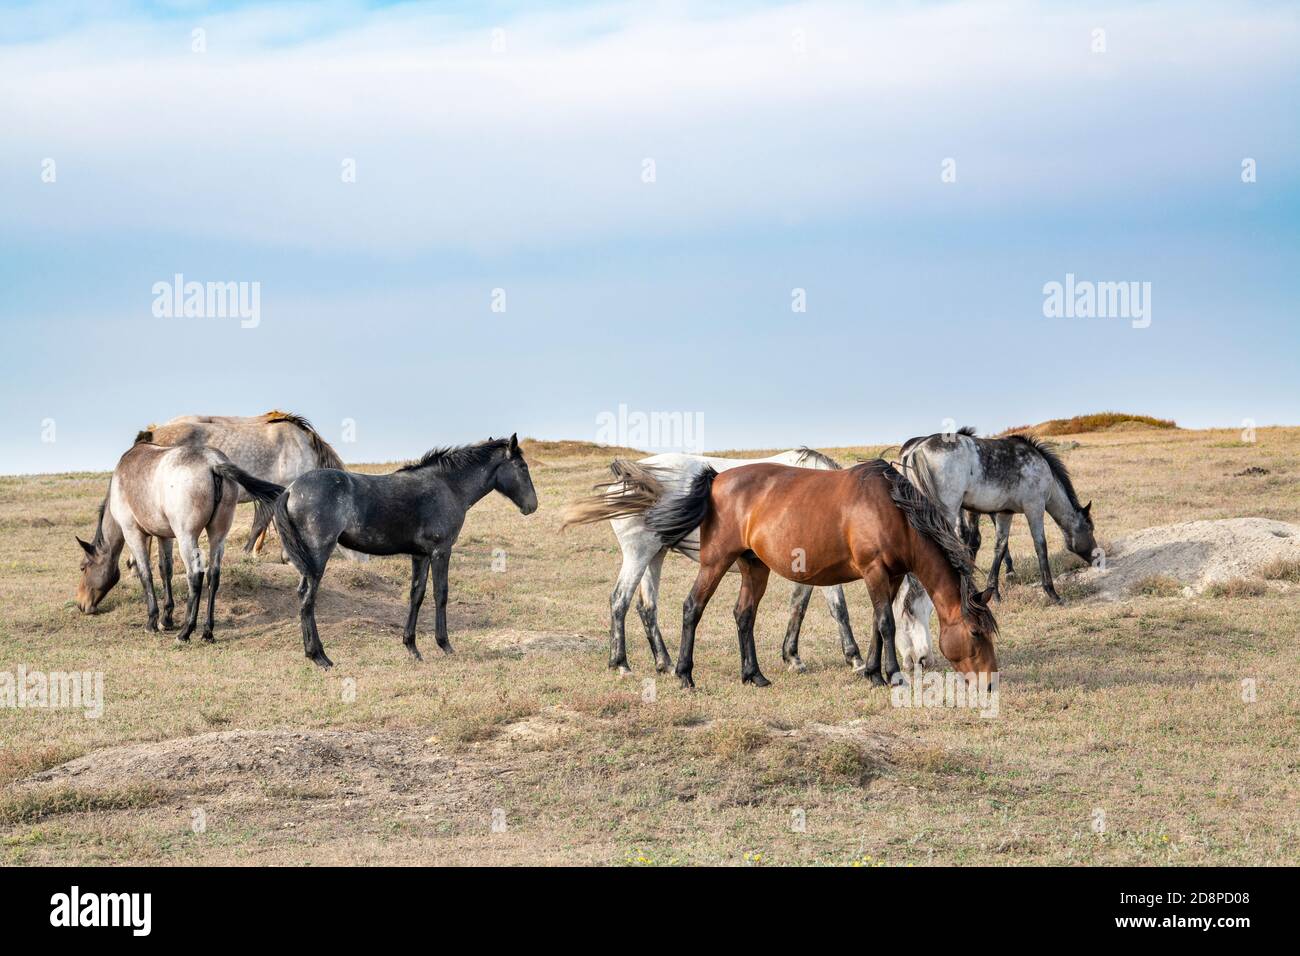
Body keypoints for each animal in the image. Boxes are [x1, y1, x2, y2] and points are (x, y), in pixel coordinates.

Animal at [76, 442, 285, 643]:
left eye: (83, 567)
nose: (81, 604)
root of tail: (213, 463)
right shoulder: (164, 536)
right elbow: (165, 570)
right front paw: (166, 618)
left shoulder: (133, 533)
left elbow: (146, 574)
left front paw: (152, 621)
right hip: (218, 536)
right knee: (213, 576)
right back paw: (207, 632)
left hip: (186, 537)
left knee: (195, 576)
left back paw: (186, 631)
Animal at [272, 435, 537, 668]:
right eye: (522, 467)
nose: (532, 506)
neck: (449, 487)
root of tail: (291, 490)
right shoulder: (441, 551)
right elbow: (440, 594)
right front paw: (445, 644)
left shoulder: (420, 554)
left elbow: (416, 595)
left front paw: (412, 647)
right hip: (318, 556)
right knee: (308, 599)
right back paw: (319, 657)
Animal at [562, 448, 935, 676]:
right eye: (910, 611)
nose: (925, 660)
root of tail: (627, 478)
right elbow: (838, 608)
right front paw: (854, 658)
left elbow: (799, 606)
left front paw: (792, 657)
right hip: (639, 553)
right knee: (619, 601)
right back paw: (621, 663)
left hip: (657, 554)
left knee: (646, 607)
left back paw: (665, 663)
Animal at [603, 459, 998, 689]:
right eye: (975, 633)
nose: (990, 683)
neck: (893, 510)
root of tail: (715, 479)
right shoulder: (873, 572)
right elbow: (885, 623)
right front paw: (890, 675)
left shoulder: (893, 576)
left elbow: (876, 623)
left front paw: (872, 671)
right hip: (712, 563)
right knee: (691, 607)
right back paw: (682, 673)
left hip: (753, 567)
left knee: (743, 614)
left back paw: (754, 675)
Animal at [900, 427, 1096, 602]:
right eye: (1090, 529)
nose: (1097, 557)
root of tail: (916, 451)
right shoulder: (1034, 508)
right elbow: (1041, 546)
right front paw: (1052, 593)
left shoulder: (1004, 513)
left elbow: (1000, 547)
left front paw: (994, 593)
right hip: (947, 510)